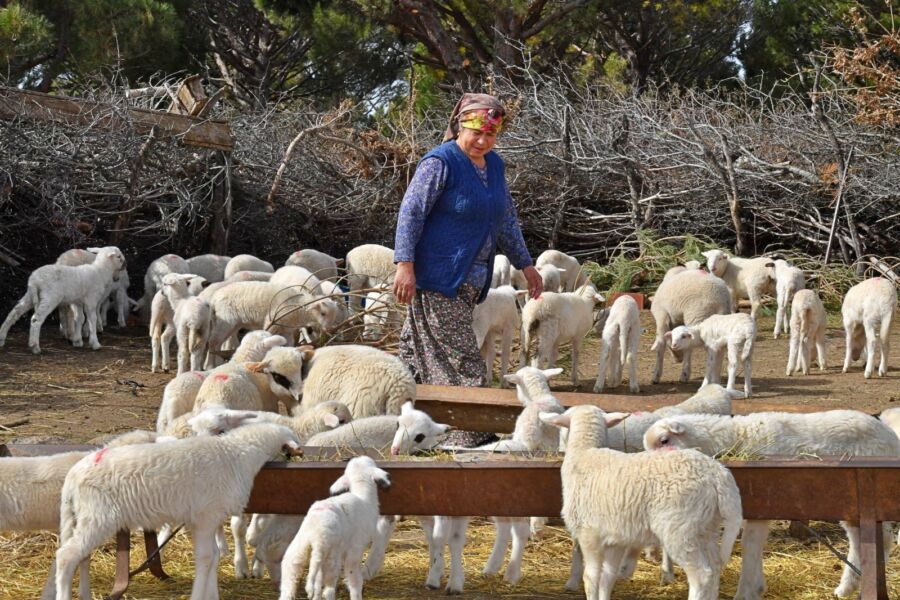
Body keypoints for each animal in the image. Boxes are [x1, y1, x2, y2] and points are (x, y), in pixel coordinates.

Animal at [55, 422, 302, 600]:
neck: (237, 454)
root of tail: (73, 476)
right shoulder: (205, 516)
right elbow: (205, 557)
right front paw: (198, 595)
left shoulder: (207, 518)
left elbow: (213, 556)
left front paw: (211, 595)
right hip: (100, 517)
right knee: (66, 556)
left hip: (83, 517)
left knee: (82, 557)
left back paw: (85, 594)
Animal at [278, 458, 390, 600]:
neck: (363, 497)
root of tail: (316, 533)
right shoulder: (355, 548)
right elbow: (355, 580)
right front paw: (356, 595)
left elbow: (318, 585)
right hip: (331, 557)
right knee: (328, 589)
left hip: (297, 552)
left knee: (291, 586)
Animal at [544, 406, 740, 600]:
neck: (584, 452)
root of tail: (718, 475)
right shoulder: (615, 539)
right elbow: (607, 578)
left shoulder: (588, 534)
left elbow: (591, 577)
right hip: (707, 527)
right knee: (715, 568)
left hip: (681, 529)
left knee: (702, 575)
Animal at [644, 412, 896, 600]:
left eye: (664, 441)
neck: (736, 436)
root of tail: (890, 435)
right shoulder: (758, 507)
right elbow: (751, 545)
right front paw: (757, 587)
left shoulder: (762, 505)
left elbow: (750, 545)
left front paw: (746, 592)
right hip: (849, 502)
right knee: (859, 539)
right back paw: (847, 587)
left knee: (882, 538)